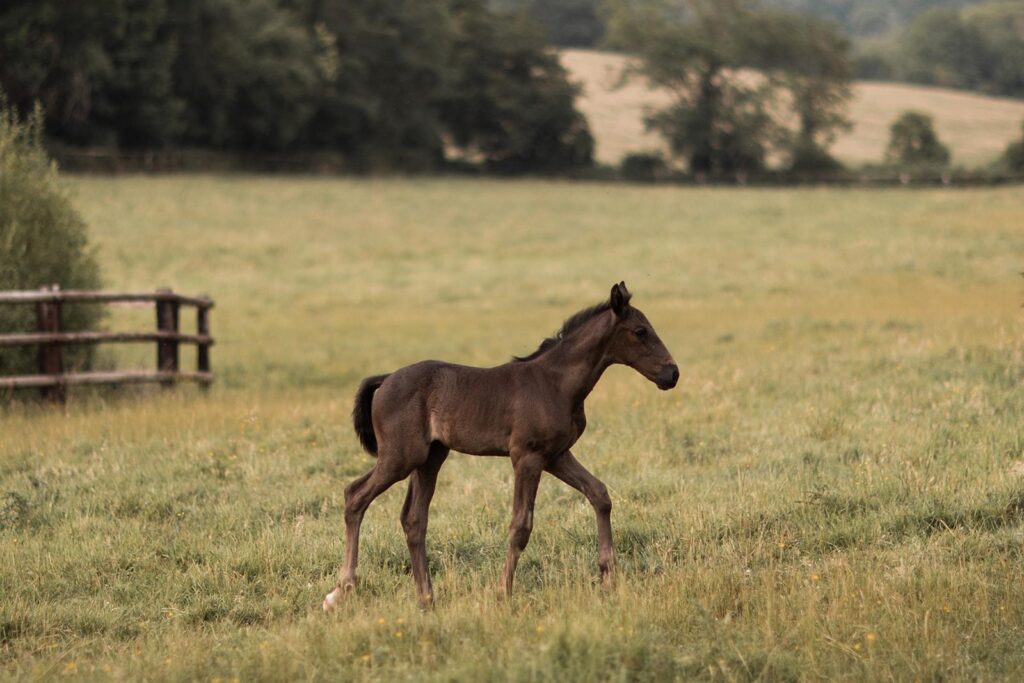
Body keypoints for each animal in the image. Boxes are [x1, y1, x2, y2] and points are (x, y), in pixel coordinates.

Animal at [323, 282, 679, 610]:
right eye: (640, 331)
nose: (672, 374)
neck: (555, 384)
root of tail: (385, 379)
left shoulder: (556, 456)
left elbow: (600, 494)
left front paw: (609, 577)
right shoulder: (527, 456)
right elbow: (521, 525)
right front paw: (502, 593)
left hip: (430, 458)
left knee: (413, 519)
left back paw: (426, 598)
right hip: (401, 456)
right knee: (355, 496)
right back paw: (341, 590)